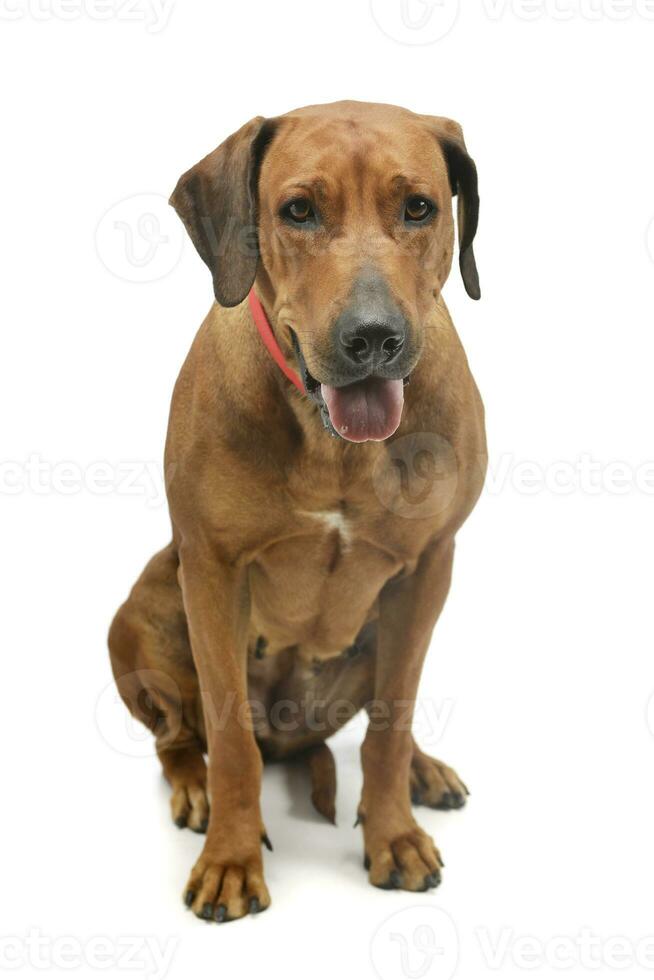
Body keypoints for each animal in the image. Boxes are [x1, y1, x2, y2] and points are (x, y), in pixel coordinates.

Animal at [107, 101, 486, 928]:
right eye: (299, 211)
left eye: (420, 207)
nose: (372, 338)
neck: (333, 441)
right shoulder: (212, 568)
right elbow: (229, 739)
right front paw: (230, 859)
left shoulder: (432, 563)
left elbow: (391, 720)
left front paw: (392, 833)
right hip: (145, 613)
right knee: (178, 735)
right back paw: (193, 786)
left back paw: (423, 771)